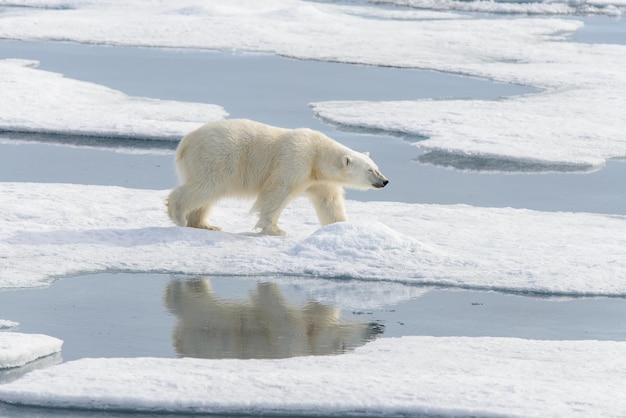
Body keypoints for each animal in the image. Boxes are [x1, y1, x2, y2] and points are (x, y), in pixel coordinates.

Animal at [167, 119, 390, 235]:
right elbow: (277, 192)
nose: (385, 181)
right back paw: (178, 215)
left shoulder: (319, 180)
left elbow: (329, 202)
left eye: (376, 167)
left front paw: (341, 227)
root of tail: (185, 142)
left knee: (208, 195)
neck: (317, 156)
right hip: (217, 157)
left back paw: (205, 224)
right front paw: (275, 229)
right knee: (207, 186)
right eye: (370, 170)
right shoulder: (295, 159)